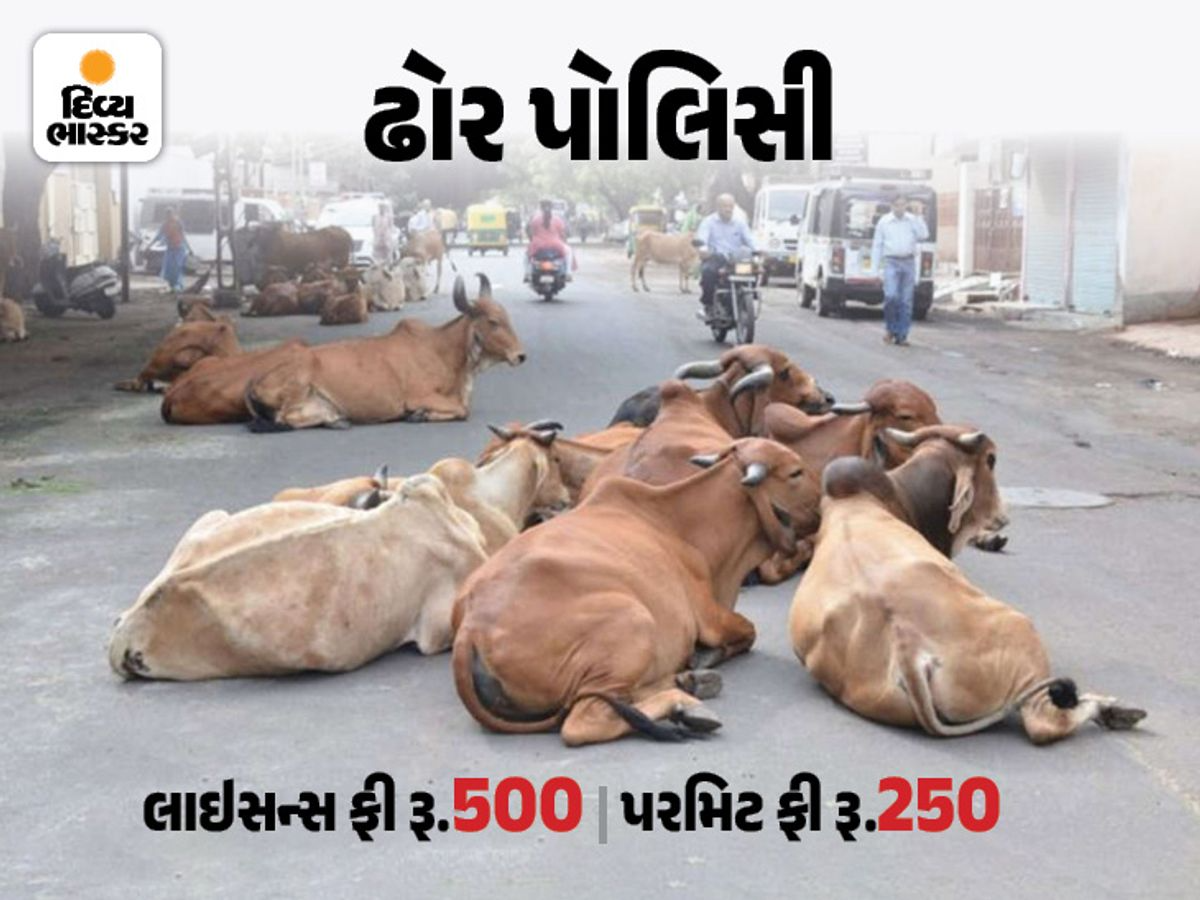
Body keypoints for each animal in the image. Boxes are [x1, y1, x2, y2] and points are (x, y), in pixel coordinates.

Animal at [241, 273, 523, 432]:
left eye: (507, 317)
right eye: (493, 322)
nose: (520, 355)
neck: (444, 350)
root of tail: (255, 379)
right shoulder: (418, 396)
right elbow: (462, 411)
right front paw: (418, 415)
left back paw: (336, 419)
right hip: (299, 382)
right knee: (284, 418)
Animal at [451, 437, 822, 746]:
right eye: (795, 472)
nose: (823, 504)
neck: (685, 526)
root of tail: (472, 627)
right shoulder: (710, 615)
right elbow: (748, 630)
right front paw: (705, 656)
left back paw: (689, 684)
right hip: (634, 620)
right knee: (583, 722)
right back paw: (685, 705)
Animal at [788, 425, 1146, 744]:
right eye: (991, 460)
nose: (1003, 515)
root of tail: (910, 654)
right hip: (1021, 630)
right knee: (1043, 723)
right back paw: (1113, 710)